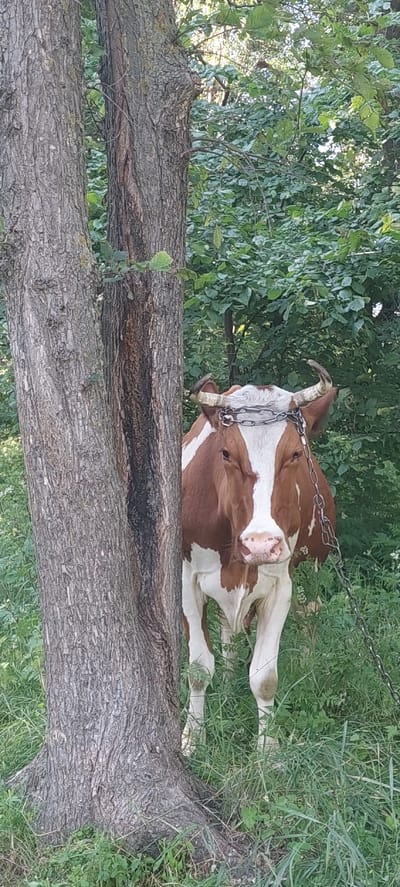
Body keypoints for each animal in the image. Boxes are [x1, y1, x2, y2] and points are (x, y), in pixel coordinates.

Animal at [181, 361, 336, 754]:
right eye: (225, 453)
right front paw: (192, 737)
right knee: (229, 634)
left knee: (311, 616)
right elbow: (199, 669)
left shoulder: (280, 585)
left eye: (295, 454)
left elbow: (265, 676)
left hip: (314, 567)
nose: (261, 544)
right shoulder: (187, 579)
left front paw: (268, 749)